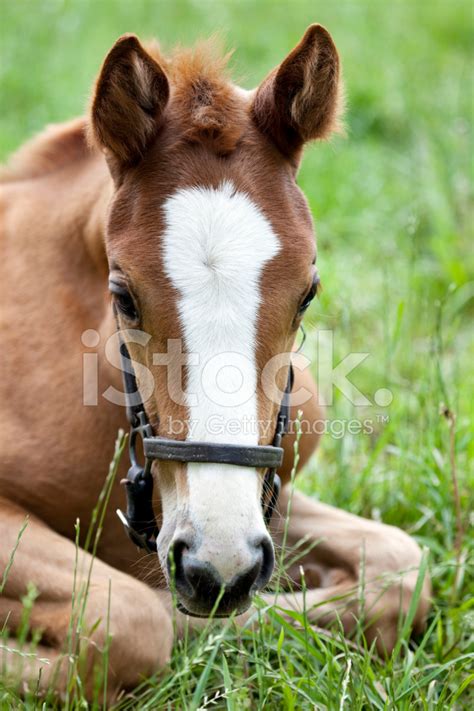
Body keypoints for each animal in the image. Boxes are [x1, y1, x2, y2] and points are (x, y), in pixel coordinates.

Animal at [0, 25, 430, 700]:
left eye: (308, 293)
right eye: (122, 293)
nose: (219, 569)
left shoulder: (266, 492)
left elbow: (398, 569)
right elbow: (134, 620)